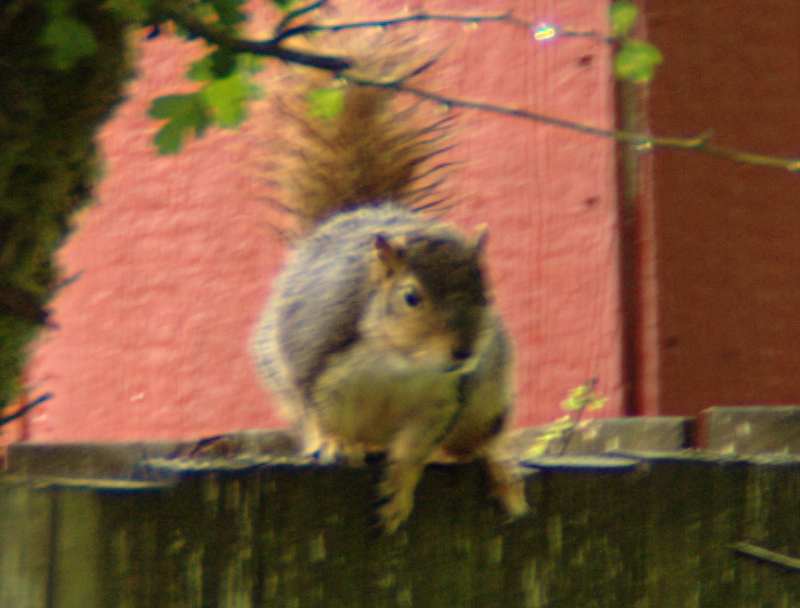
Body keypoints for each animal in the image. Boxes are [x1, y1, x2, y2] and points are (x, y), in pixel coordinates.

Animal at [251, 78, 528, 534]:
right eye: (411, 297)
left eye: (487, 296)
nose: (464, 351)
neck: (400, 365)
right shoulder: (320, 364)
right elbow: (321, 415)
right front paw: (334, 442)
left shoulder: (443, 400)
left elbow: (416, 449)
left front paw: (398, 488)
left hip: (486, 404)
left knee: (473, 444)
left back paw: (500, 470)